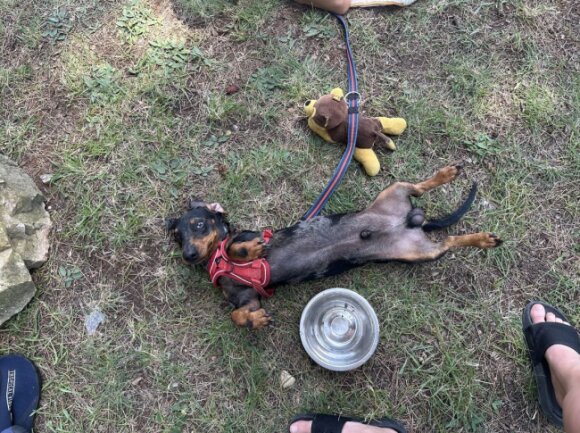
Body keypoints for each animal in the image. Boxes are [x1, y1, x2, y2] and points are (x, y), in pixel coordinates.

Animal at [165, 165, 500, 328]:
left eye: (198, 224)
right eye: (178, 237)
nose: (188, 255)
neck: (216, 259)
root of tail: (413, 221)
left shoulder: (245, 235)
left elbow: (239, 244)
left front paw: (249, 251)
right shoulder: (248, 299)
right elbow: (238, 315)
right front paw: (255, 321)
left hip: (396, 192)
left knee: (420, 186)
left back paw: (448, 178)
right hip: (419, 250)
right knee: (448, 241)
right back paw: (481, 238)